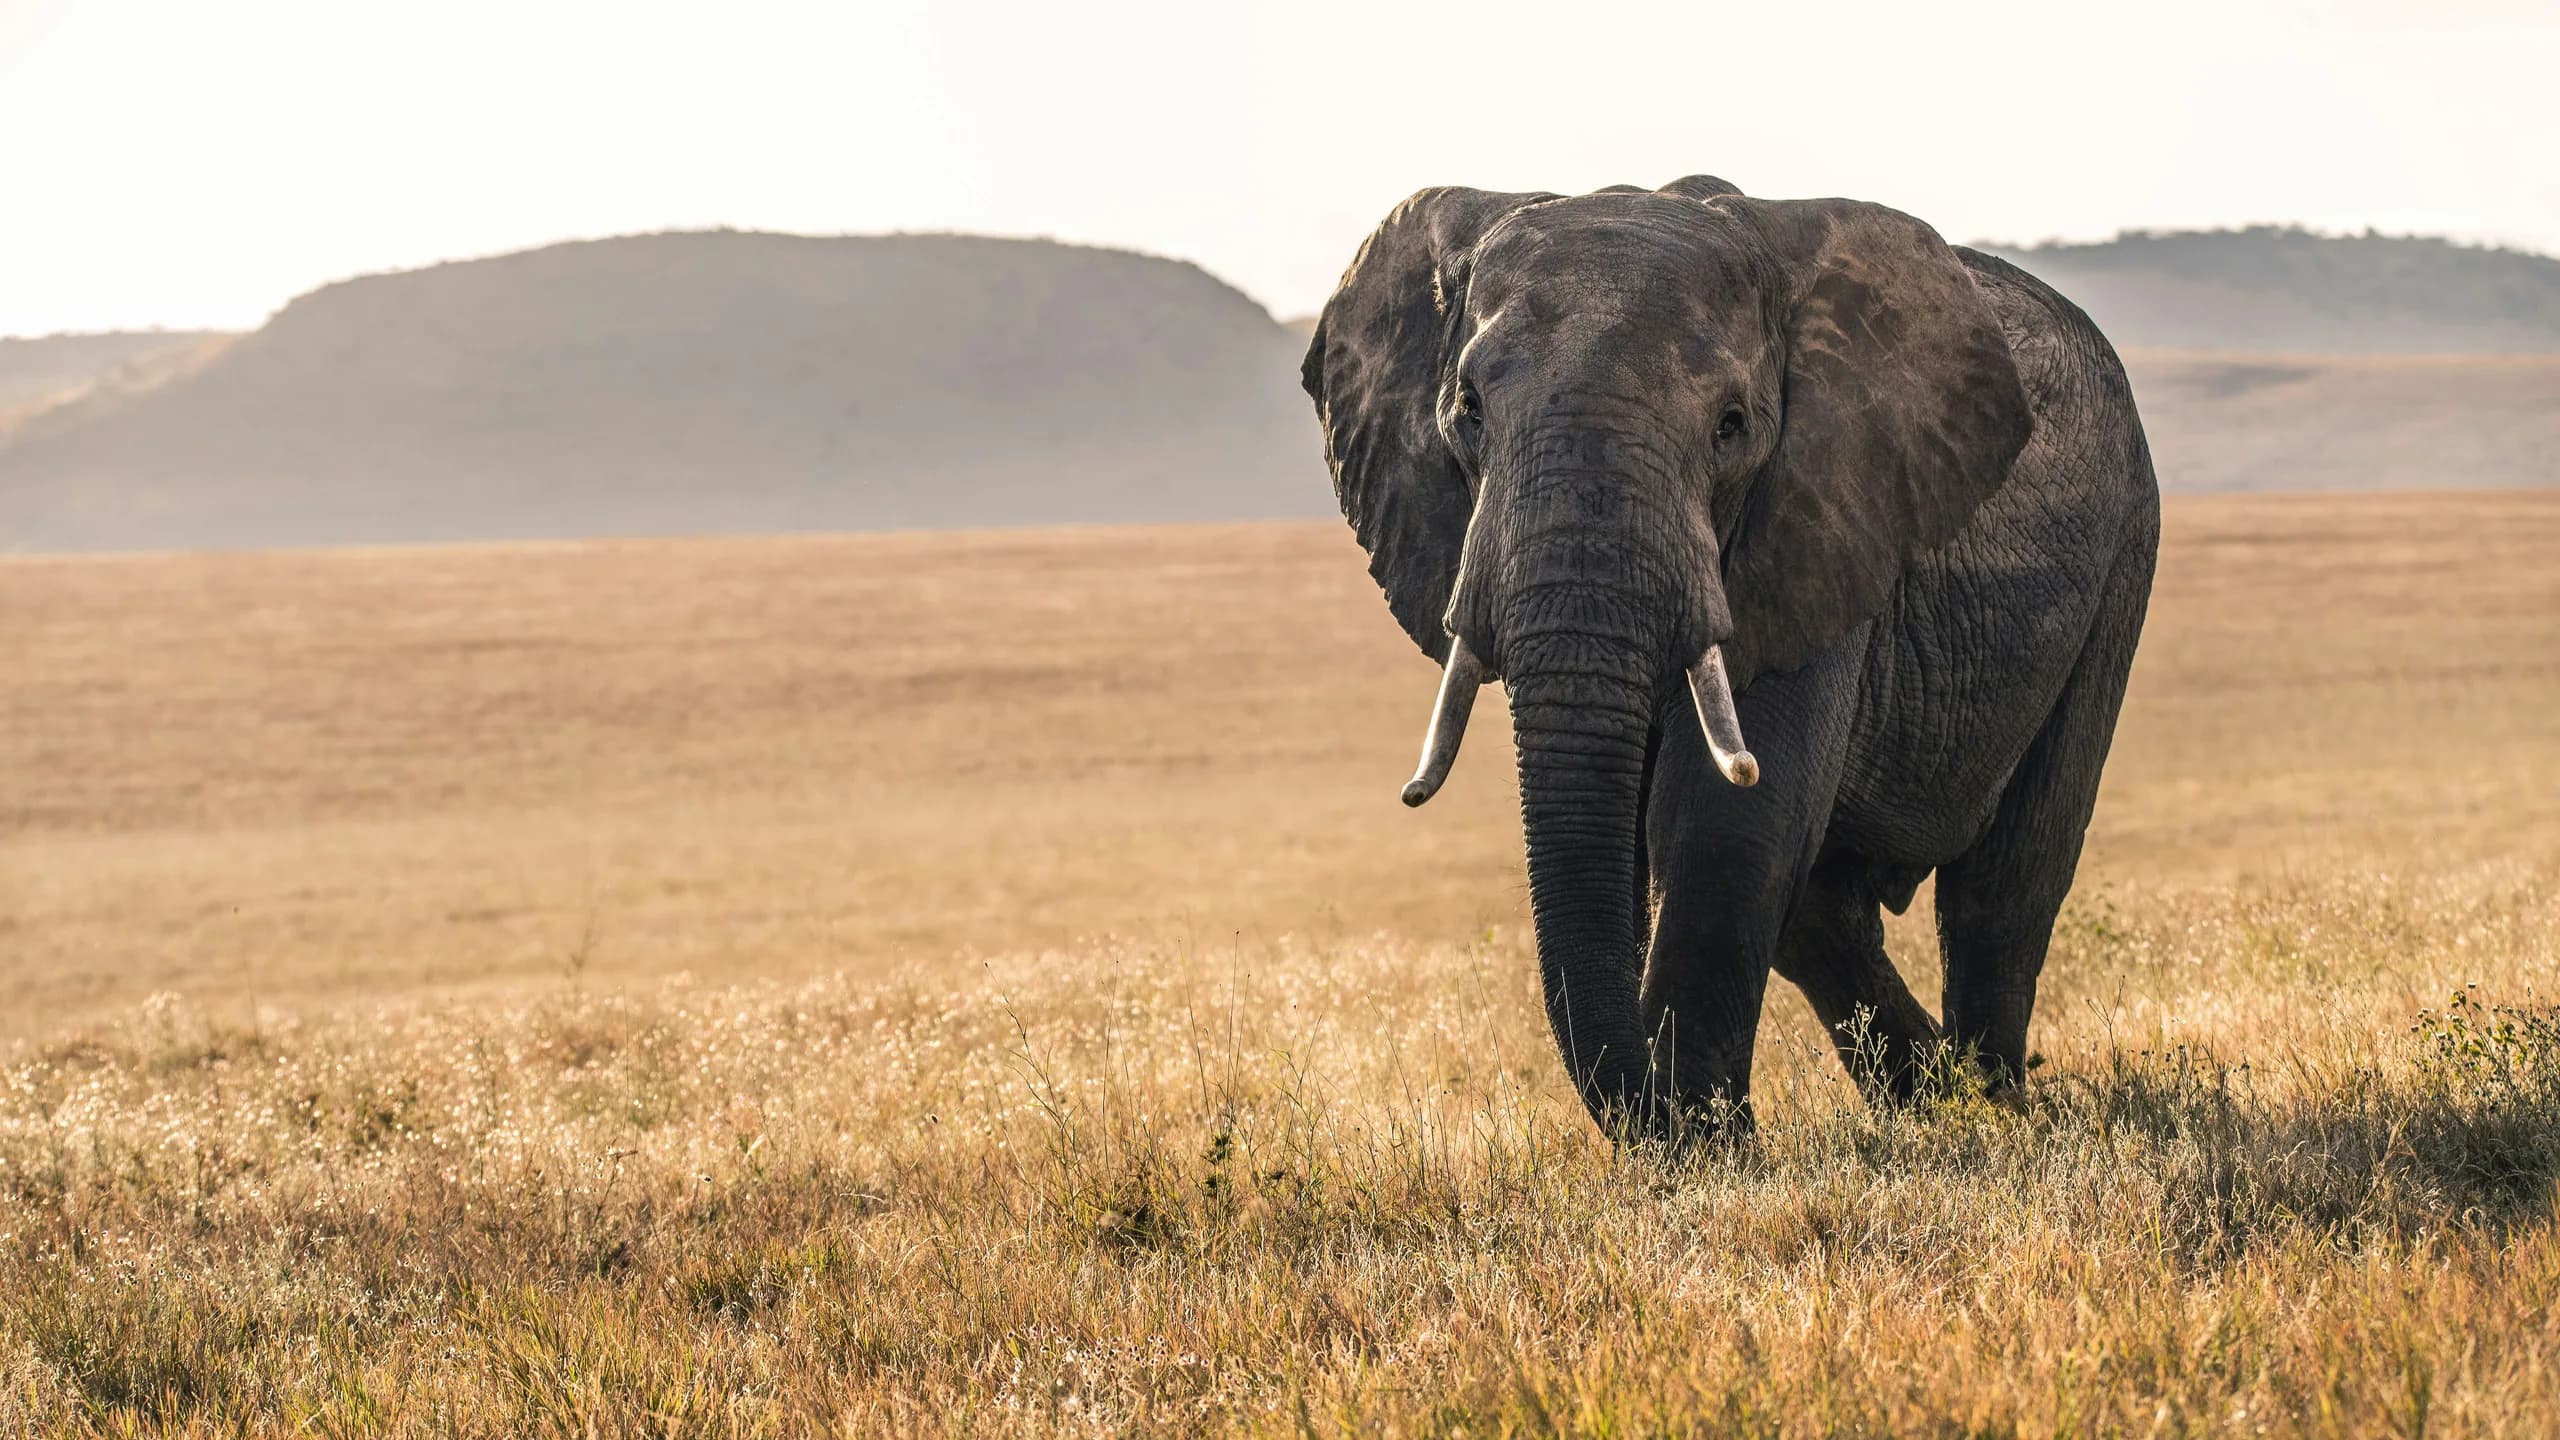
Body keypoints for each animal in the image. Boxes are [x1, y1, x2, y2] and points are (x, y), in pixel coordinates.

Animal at [1300, 176, 2158, 1143]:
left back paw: (1994, 1110)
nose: (1659, 1113)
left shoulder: (1820, 516)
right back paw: (1933, 1101)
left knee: (2005, 884)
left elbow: (1724, 822)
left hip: (2124, 552)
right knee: (1825, 913)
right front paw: (1699, 1138)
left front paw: (1707, 1149)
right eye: (1468, 410)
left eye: (1731, 426)